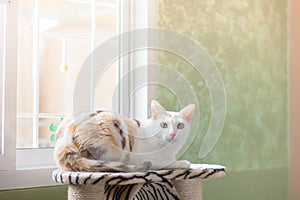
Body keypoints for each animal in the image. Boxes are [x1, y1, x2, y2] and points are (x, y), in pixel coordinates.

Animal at [53, 100, 195, 172]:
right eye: (164, 125)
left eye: (180, 126)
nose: (172, 133)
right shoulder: (147, 159)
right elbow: (169, 163)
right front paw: (183, 163)